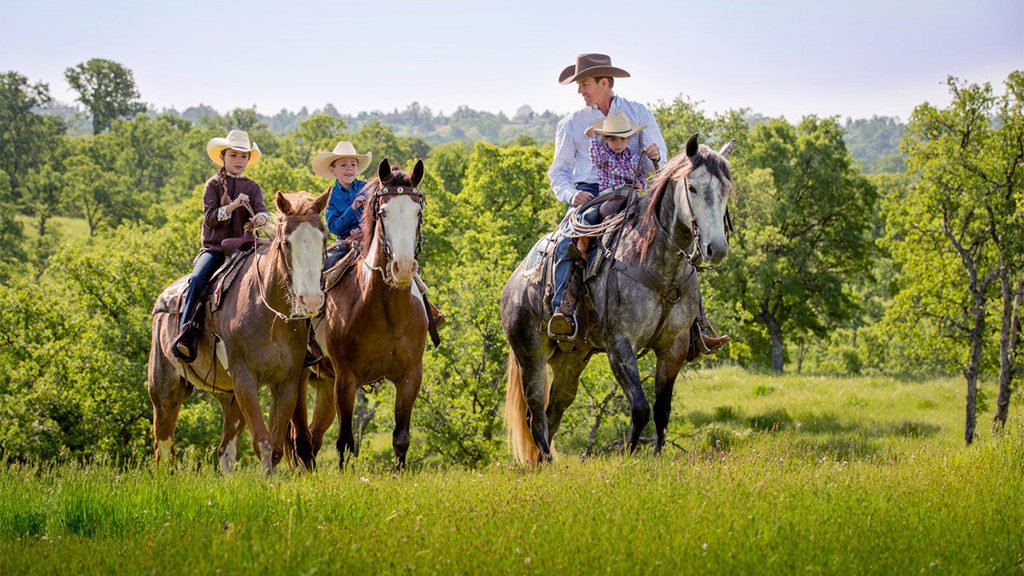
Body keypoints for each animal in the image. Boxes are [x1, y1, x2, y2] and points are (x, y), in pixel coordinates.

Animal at [149, 190, 327, 473]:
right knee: (163, 447)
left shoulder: (286, 383)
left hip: (228, 397)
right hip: (165, 393)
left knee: (225, 450)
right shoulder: (245, 379)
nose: (310, 300)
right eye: (286, 243)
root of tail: (162, 300)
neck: (269, 314)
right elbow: (263, 442)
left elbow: (275, 446)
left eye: (323, 239)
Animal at [290, 156, 430, 467]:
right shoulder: (346, 380)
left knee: (314, 437)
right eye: (383, 213)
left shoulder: (410, 377)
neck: (388, 311)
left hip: (324, 384)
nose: (403, 267)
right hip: (301, 379)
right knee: (300, 439)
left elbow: (401, 439)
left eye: (417, 212)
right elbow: (345, 442)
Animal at [499, 133, 733, 461]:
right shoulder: (620, 346)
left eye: (726, 188)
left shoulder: (673, 347)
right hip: (530, 356)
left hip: (571, 360)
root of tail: (513, 283)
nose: (716, 249)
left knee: (554, 410)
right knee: (535, 415)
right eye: (693, 187)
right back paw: (546, 463)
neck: (659, 265)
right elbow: (640, 407)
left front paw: (657, 457)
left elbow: (662, 409)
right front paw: (629, 457)